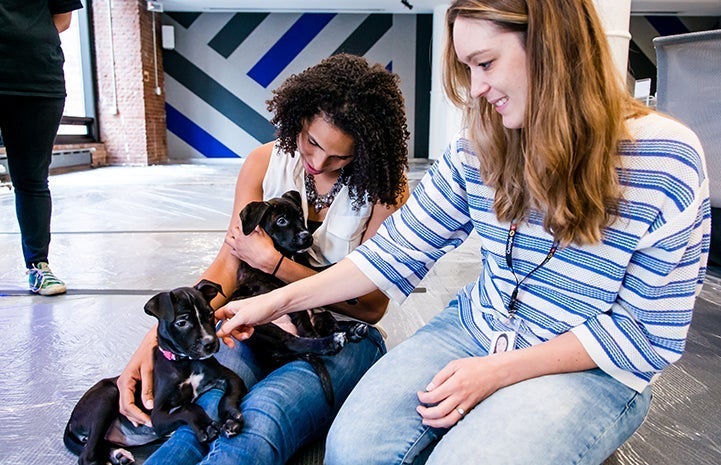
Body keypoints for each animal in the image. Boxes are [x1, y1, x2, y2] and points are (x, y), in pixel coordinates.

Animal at [63, 280, 248, 464]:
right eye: (182, 323)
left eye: (210, 314)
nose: (210, 343)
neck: (186, 363)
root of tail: (71, 420)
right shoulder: (157, 416)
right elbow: (188, 408)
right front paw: (206, 426)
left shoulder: (230, 377)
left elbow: (228, 397)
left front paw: (229, 419)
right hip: (107, 395)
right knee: (86, 456)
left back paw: (118, 455)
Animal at [229, 190, 368, 404]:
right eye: (282, 221)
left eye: (301, 216)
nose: (307, 236)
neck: (288, 254)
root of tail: (271, 356)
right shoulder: (275, 289)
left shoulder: (305, 269)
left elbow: (322, 271)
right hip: (259, 321)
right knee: (294, 341)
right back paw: (328, 341)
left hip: (322, 316)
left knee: (325, 327)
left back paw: (352, 331)